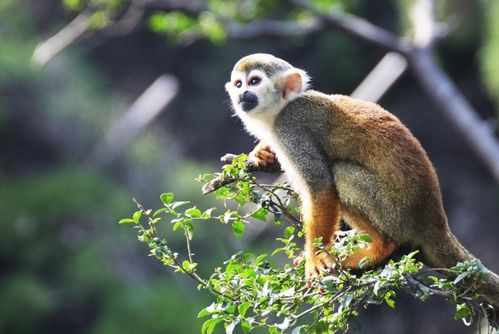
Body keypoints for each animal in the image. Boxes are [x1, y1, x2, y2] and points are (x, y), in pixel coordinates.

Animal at [226, 52, 499, 314]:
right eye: (239, 84)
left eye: (254, 82)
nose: (242, 94)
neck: (283, 108)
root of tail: (435, 221)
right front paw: (262, 152)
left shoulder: (291, 129)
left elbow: (320, 188)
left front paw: (315, 257)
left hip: (395, 213)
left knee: (341, 174)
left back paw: (380, 248)